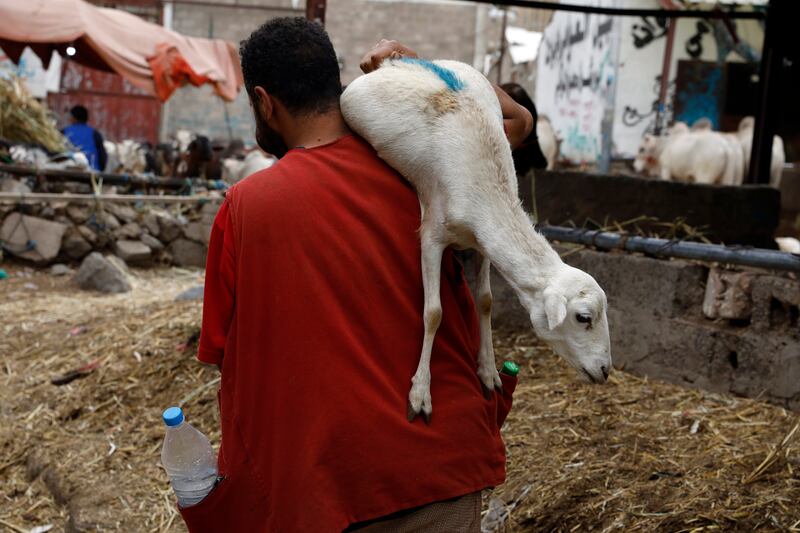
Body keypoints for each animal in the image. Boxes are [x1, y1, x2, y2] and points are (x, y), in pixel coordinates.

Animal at [340, 59, 612, 424]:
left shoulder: (482, 244)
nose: (605, 370)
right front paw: (420, 394)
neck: (490, 190)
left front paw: (489, 372)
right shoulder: (431, 234)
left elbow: (485, 301)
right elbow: (433, 312)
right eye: (583, 318)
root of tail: (400, 61)